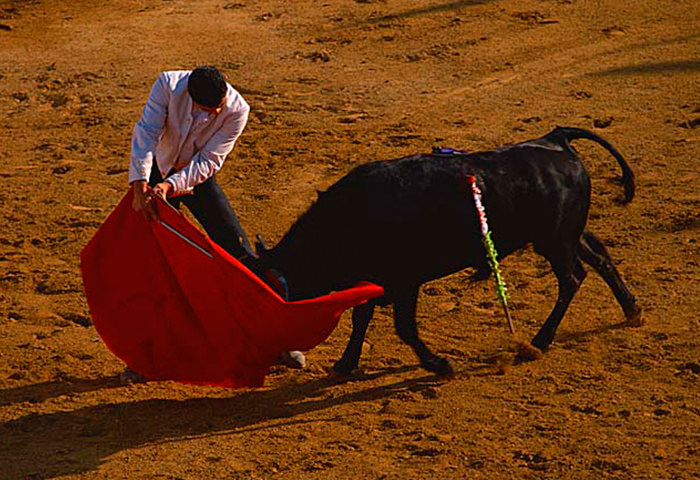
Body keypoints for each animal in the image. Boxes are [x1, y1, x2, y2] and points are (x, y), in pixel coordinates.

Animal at [254, 126, 644, 376]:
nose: (277, 353)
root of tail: (556, 139)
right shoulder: (378, 278)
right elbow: (361, 316)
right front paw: (346, 364)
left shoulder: (404, 280)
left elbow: (403, 327)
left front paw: (439, 364)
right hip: (566, 233)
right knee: (600, 256)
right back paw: (632, 311)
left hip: (555, 241)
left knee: (573, 277)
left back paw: (539, 341)